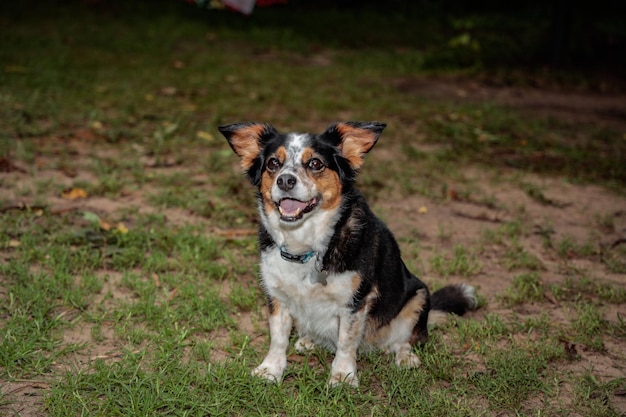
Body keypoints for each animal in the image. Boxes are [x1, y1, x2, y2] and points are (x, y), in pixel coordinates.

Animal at [217, 121, 476, 386]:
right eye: (272, 163)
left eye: (315, 163)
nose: (285, 181)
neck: (306, 246)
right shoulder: (277, 295)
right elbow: (278, 338)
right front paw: (270, 370)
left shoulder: (355, 301)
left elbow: (346, 341)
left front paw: (342, 376)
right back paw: (309, 341)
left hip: (418, 296)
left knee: (406, 340)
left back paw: (405, 357)